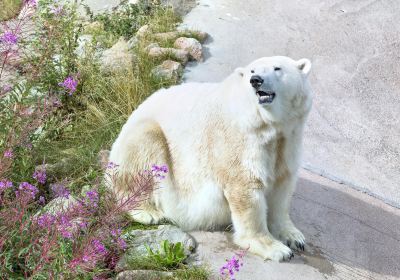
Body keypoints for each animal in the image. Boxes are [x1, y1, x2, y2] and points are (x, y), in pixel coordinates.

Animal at [108, 55, 312, 262]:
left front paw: (294, 237)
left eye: (277, 68)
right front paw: (276, 249)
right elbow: (246, 188)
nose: (256, 81)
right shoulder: (238, 139)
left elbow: (281, 188)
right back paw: (148, 212)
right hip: (141, 141)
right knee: (144, 150)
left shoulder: (288, 139)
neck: (266, 124)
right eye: (252, 71)